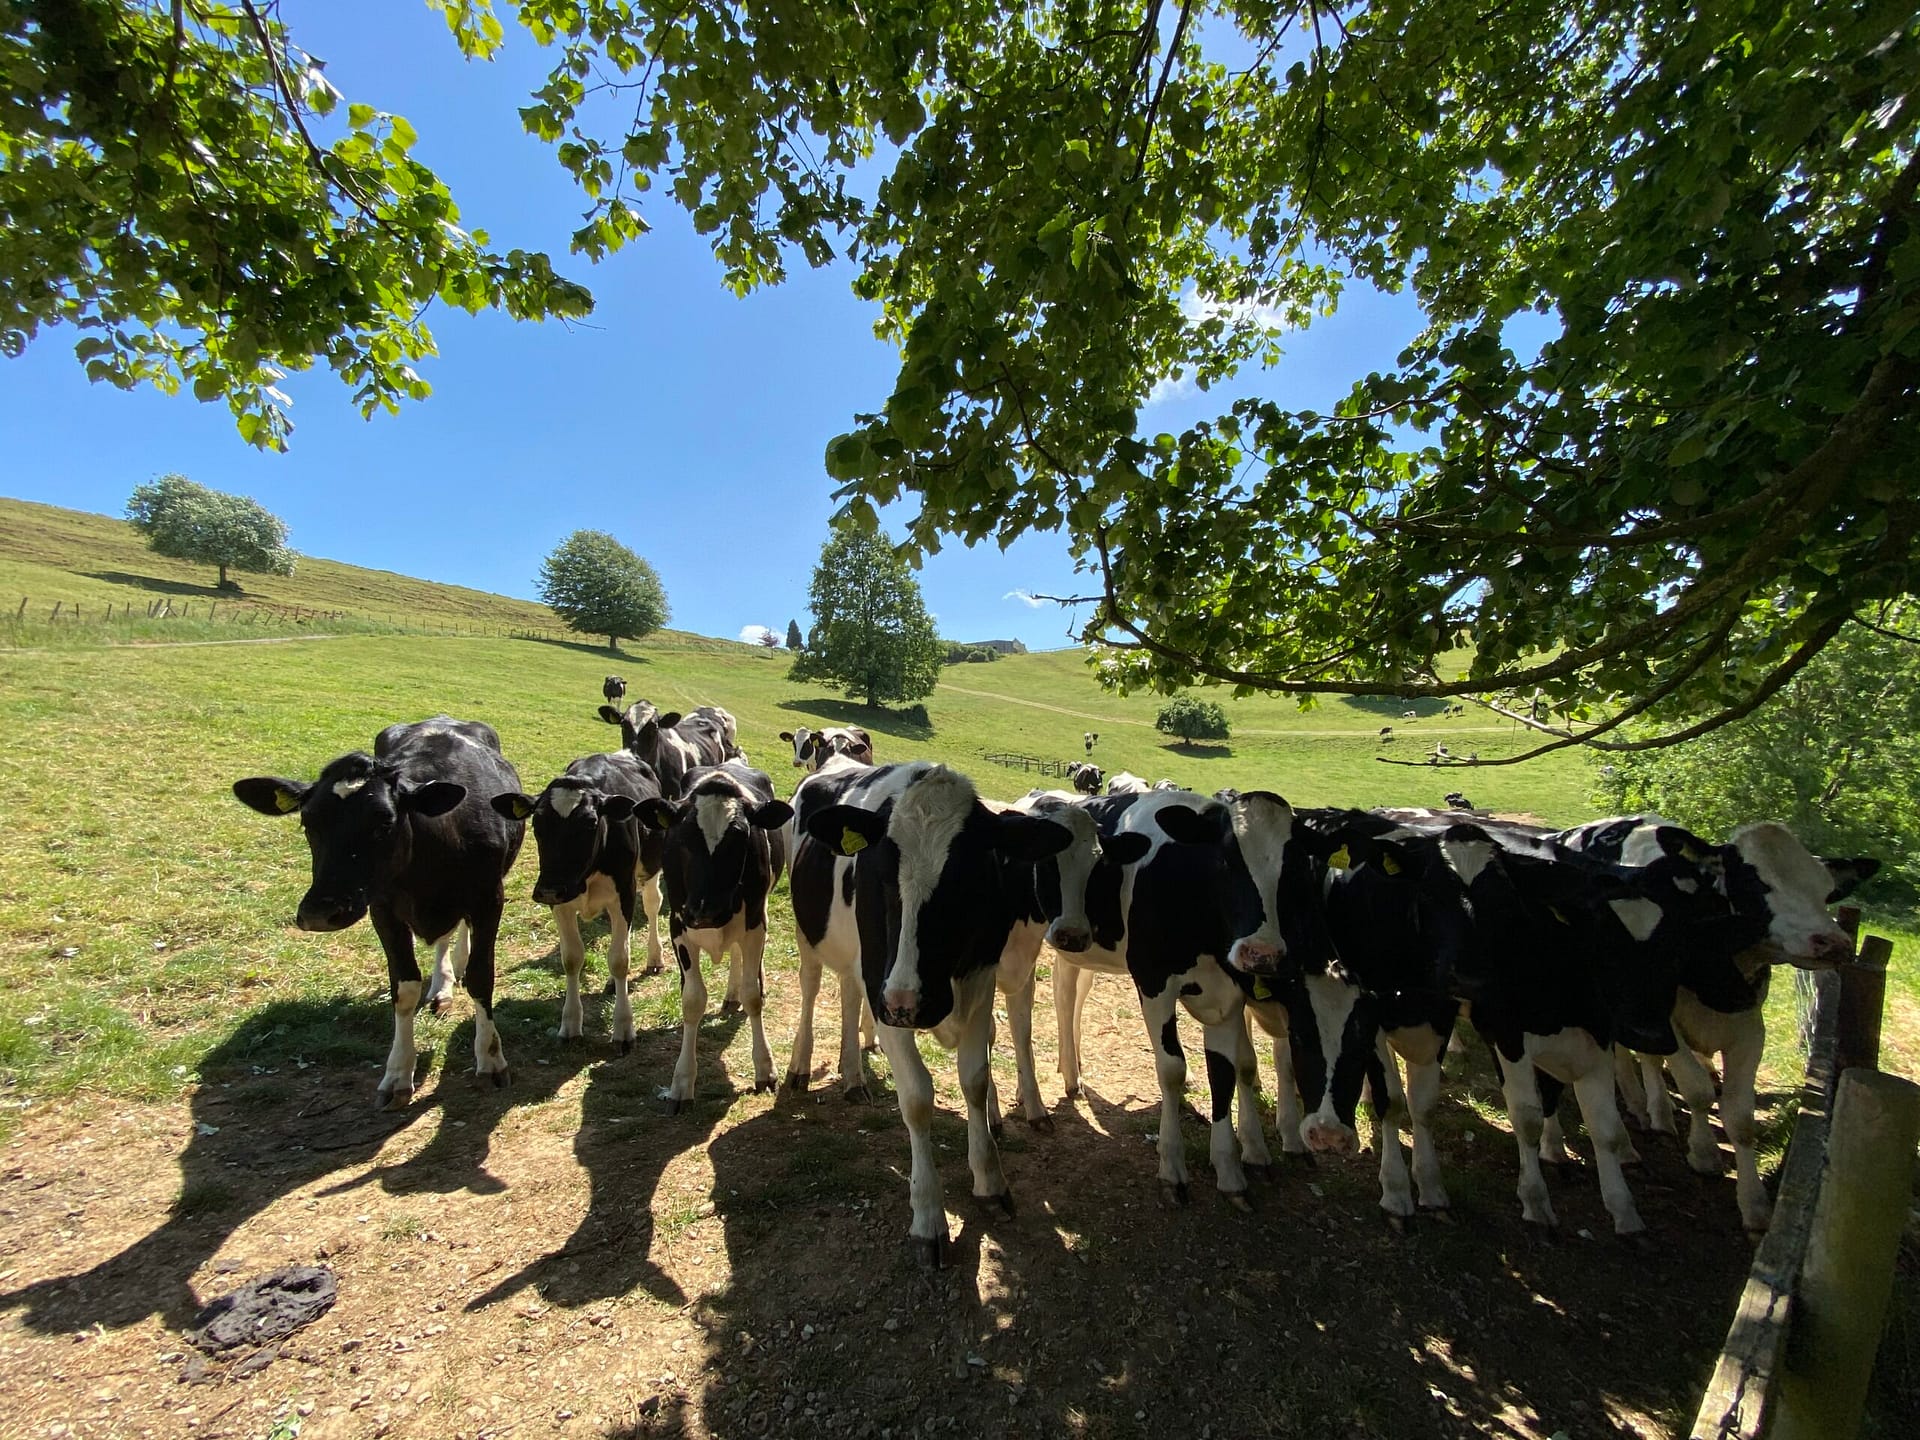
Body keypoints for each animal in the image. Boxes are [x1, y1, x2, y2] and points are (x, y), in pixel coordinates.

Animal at [233, 716, 524, 1109]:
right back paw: (443, 986)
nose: (320, 912)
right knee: (443, 940)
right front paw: (398, 1073)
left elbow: (482, 976)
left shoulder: (489, 897)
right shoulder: (382, 909)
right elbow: (403, 988)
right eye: (308, 823)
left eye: (384, 823)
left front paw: (491, 1060)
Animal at [489, 751, 668, 1052]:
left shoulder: (624, 893)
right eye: (537, 824)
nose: (548, 889)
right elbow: (572, 958)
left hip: (650, 867)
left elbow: (619, 959)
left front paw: (623, 1027)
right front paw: (570, 1023)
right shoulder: (561, 903)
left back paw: (655, 957)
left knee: (652, 904)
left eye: (590, 823)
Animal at [634, 763, 792, 1112]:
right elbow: (693, 1000)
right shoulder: (678, 926)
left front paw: (765, 1068)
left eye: (740, 837)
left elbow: (753, 994)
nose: (706, 910)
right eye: (682, 838)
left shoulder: (755, 924)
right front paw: (682, 1082)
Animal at [797, 763, 1076, 1266]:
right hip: (813, 940)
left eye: (967, 878)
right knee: (811, 988)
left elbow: (975, 1079)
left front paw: (989, 1180)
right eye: (881, 874)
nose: (909, 1001)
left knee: (848, 997)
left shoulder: (982, 981)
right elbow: (917, 1098)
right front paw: (928, 1216)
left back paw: (853, 1077)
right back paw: (797, 1068)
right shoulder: (884, 992)